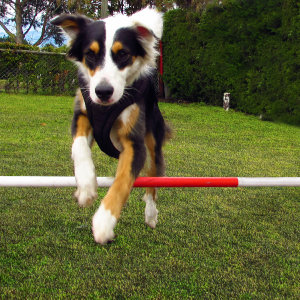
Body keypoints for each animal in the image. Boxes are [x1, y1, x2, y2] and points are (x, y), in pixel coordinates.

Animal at [51, 7, 171, 244]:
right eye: (90, 54)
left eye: (123, 54)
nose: (103, 92)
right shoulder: (82, 115)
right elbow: (79, 147)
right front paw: (86, 187)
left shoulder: (134, 143)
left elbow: (123, 180)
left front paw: (104, 222)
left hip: (154, 139)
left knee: (153, 178)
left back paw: (151, 215)